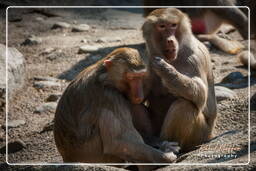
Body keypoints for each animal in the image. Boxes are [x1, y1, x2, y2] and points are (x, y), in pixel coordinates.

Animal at [143, 8, 217, 152]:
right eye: (162, 26)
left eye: (173, 25)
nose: (170, 40)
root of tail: (210, 135)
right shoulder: (150, 59)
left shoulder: (193, 58)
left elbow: (201, 95)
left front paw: (166, 70)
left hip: (200, 136)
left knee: (184, 106)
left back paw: (166, 146)